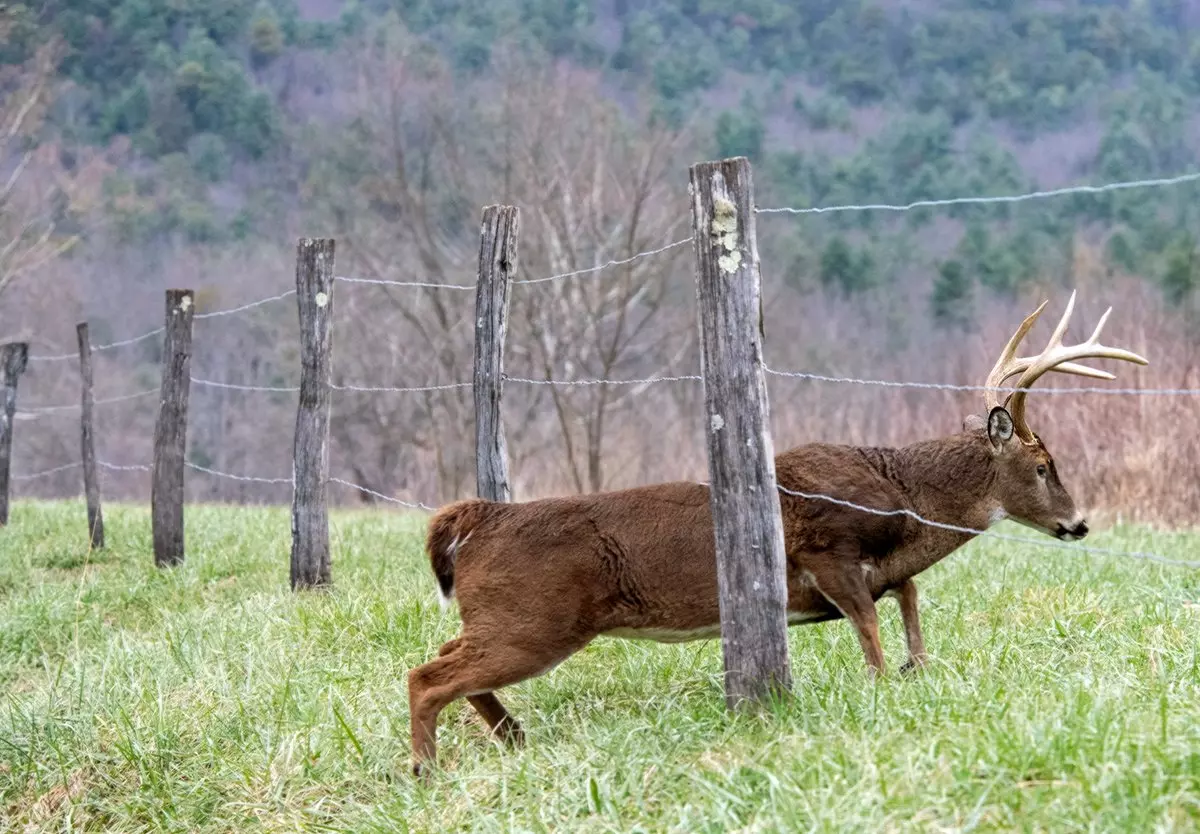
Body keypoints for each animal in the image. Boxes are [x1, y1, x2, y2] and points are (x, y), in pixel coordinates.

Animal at [408, 294, 1147, 777]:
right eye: (1044, 465)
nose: (1078, 523)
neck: (906, 501)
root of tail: (476, 517)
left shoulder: (883, 570)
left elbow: (909, 609)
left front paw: (918, 668)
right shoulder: (829, 552)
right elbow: (872, 639)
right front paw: (883, 689)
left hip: (506, 617)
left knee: (444, 656)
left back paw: (512, 737)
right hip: (536, 619)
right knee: (425, 675)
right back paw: (426, 769)